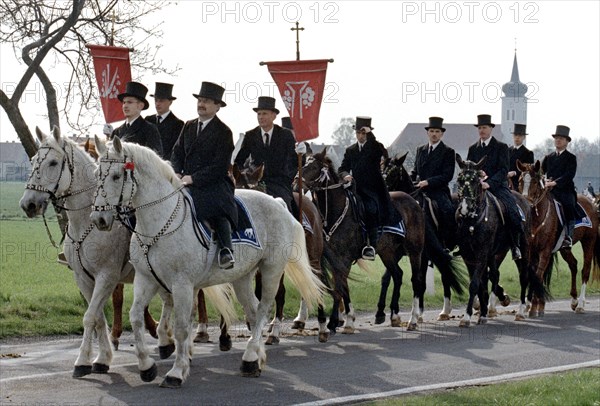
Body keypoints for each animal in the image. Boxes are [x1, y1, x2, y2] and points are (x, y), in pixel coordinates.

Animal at [18, 126, 234, 378]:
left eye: (52, 162)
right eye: (33, 161)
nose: (28, 204)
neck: (85, 223)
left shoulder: (107, 276)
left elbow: (91, 316)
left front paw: (83, 361)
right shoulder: (83, 278)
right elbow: (98, 318)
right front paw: (102, 359)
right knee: (175, 303)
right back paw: (170, 343)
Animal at [90, 136, 324, 386]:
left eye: (116, 176)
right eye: (97, 174)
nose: (99, 218)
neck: (158, 224)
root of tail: (278, 203)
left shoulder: (182, 284)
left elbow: (182, 327)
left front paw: (176, 372)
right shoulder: (147, 280)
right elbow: (136, 318)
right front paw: (147, 366)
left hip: (271, 270)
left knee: (263, 310)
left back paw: (251, 356)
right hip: (242, 277)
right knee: (252, 312)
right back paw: (255, 359)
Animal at [516, 160, 600, 316]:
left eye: (535, 181)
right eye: (520, 181)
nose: (525, 203)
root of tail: (591, 203)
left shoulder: (545, 251)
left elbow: (538, 275)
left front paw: (532, 306)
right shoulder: (531, 251)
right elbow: (531, 276)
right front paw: (527, 306)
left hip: (589, 242)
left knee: (585, 270)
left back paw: (580, 304)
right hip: (565, 248)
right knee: (573, 264)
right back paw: (573, 300)